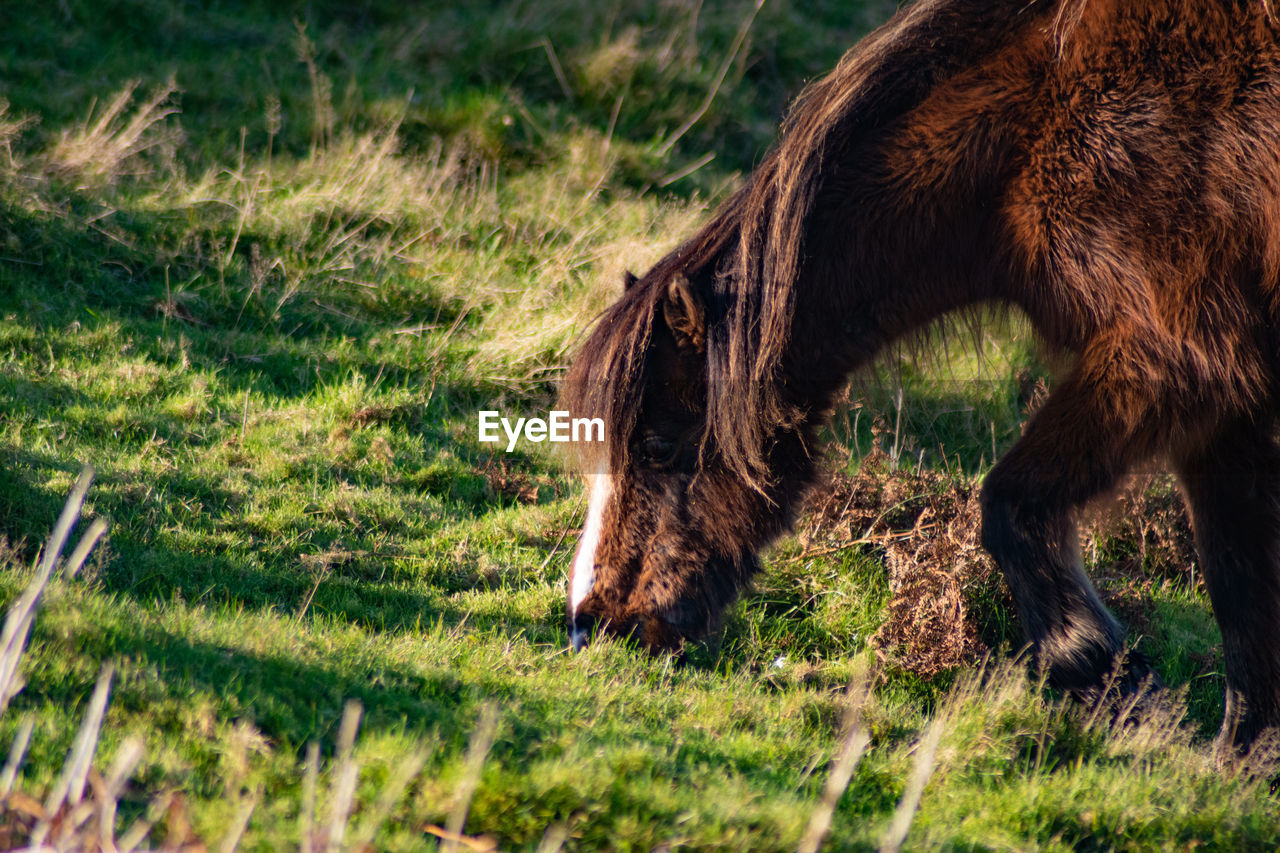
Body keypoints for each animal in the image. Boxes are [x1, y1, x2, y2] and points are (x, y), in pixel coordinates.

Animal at [565, 0, 1280, 742]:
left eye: (657, 446)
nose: (595, 622)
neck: (1035, 130)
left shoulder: (1173, 363)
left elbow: (1010, 505)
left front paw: (1105, 673)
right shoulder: (1229, 408)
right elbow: (1243, 583)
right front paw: (1241, 754)